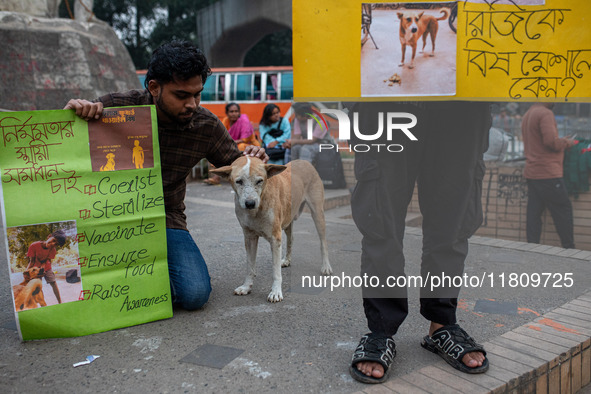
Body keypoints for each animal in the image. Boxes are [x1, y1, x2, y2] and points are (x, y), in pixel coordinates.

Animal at [212, 156, 332, 302]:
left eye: (259, 181)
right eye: (239, 181)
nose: (250, 203)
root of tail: (304, 161)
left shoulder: (275, 238)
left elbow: (275, 272)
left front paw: (275, 292)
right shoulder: (249, 237)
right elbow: (250, 267)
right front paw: (246, 287)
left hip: (317, 213)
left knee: (323, 242)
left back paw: (326, 266)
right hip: (288, 218)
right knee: (291, 239)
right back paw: (286, 259)